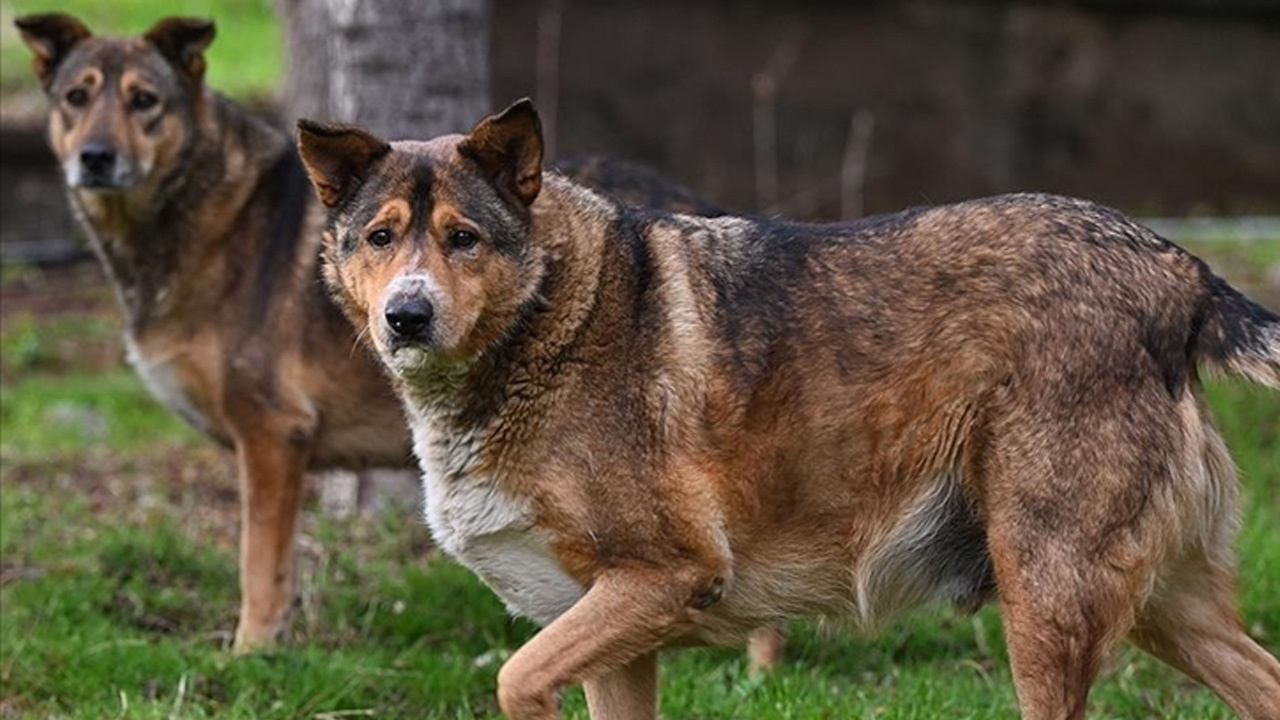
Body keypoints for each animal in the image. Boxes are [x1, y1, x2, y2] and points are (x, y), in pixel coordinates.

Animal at [17, 14, 778, 666]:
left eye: (145, 100)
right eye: (76, 98)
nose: (95, 157)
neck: (205, 213)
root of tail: (699, 206)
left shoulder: (272, 434)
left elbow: (259, 565)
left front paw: (251, 653)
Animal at [296, 96, 1280, 717]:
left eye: (462, 238)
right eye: (380, 238)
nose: (407, 315)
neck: (550, 322)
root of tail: (1178, 267)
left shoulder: (666, 577)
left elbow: (512, 680)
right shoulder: (622, 636)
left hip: (1046, 605)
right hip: (1164, 609)